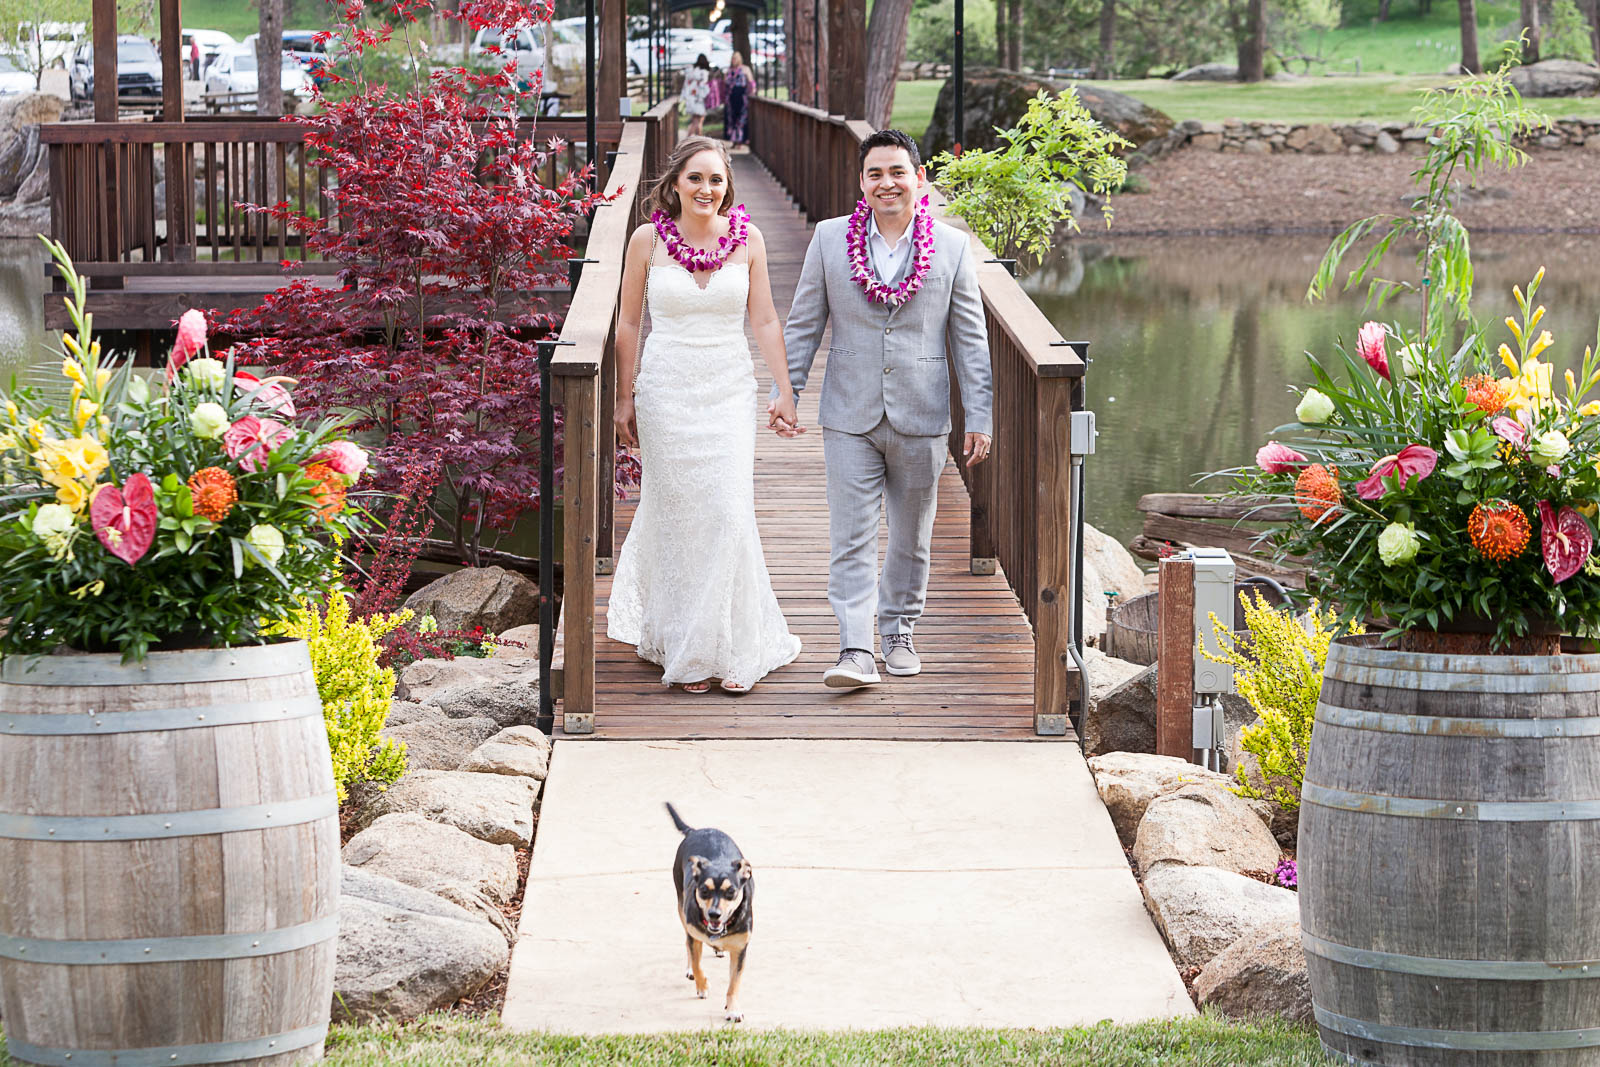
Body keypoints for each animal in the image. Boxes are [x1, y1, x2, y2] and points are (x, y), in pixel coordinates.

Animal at [668, 799, 755, 1023]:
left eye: (731, 891)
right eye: (704, 890)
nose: (714, 914)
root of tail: (695, 830)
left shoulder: (740, 950)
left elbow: (734, 984)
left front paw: (732, 1009)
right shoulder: (694, 934)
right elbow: (697, 963)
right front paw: (702, 985)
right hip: (681, 906)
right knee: (688, 945)